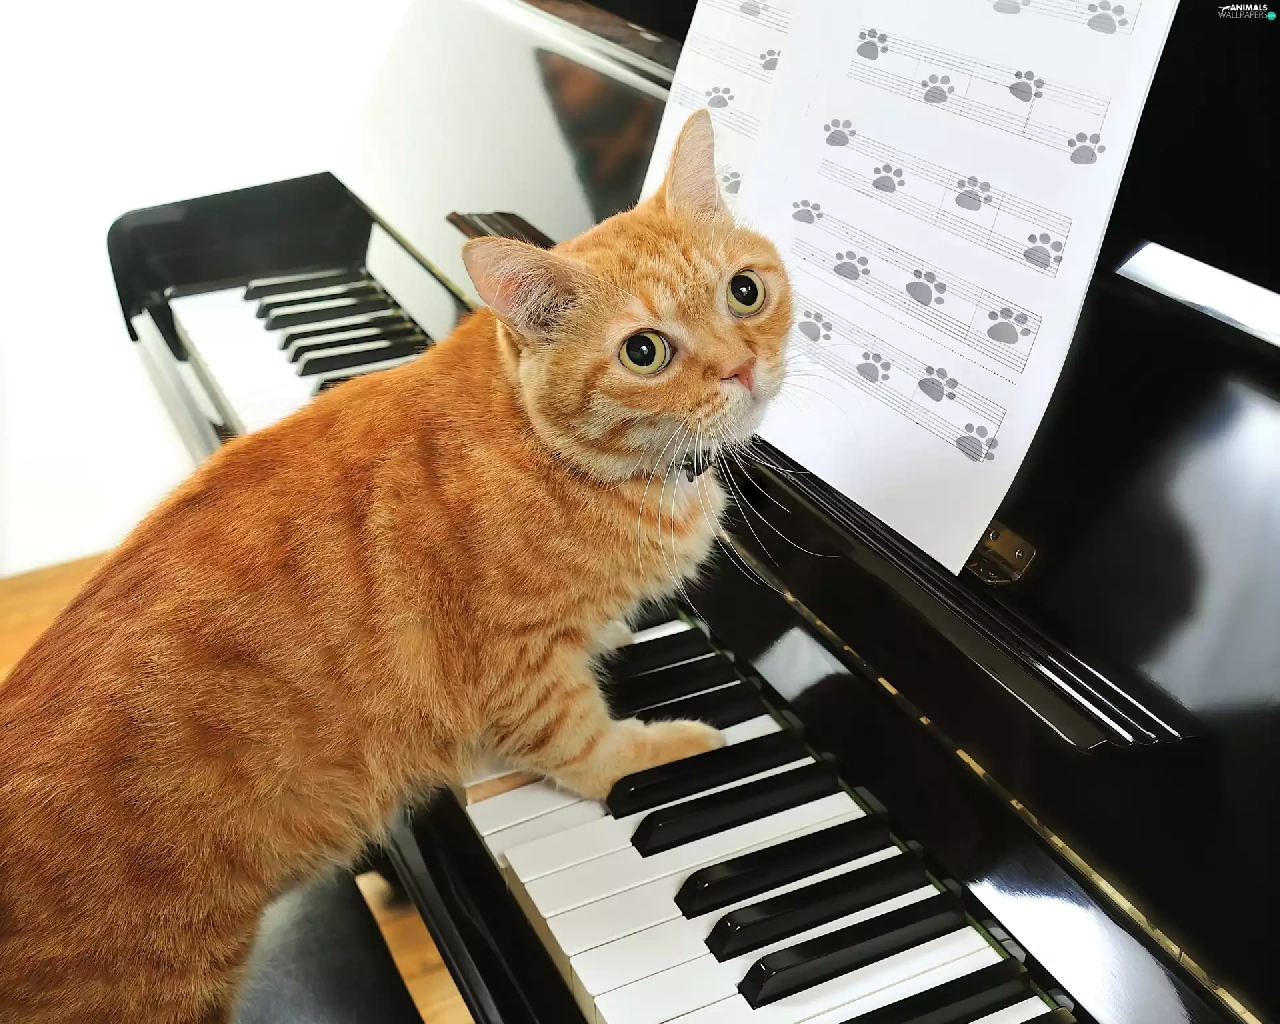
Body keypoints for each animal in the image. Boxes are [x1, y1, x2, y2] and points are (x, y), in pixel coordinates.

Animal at [0, 108, 791, 1023]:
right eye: (644, 352)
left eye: (744, 291)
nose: (741, 367)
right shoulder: (517, 670)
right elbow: (584, 745)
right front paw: (660, 749)